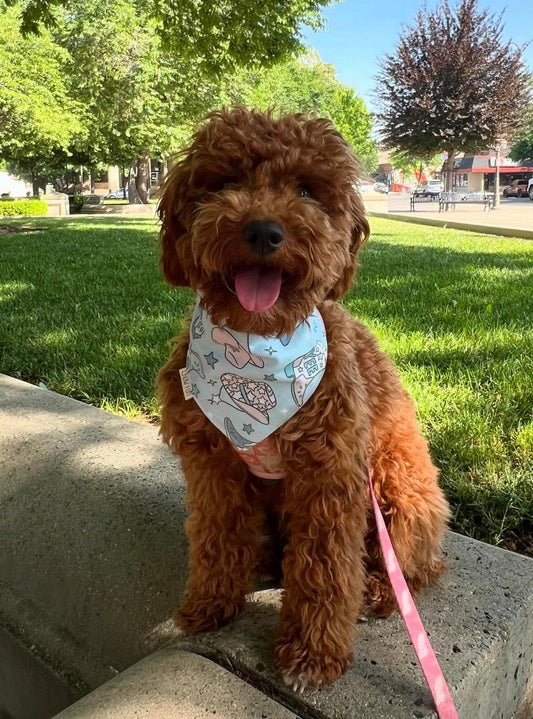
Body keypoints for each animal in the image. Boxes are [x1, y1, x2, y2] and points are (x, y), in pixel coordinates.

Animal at [157, 108, 448, 692]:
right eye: (225, 181)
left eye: (307, 190)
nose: (264, 231)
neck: (257, 343)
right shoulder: (213, 465)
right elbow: (216, 537)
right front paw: (209, 606)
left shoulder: (330, 472)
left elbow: (325, 569)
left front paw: (312, 654)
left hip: (399, 491)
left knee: (408, 570)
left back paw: (377, 593)